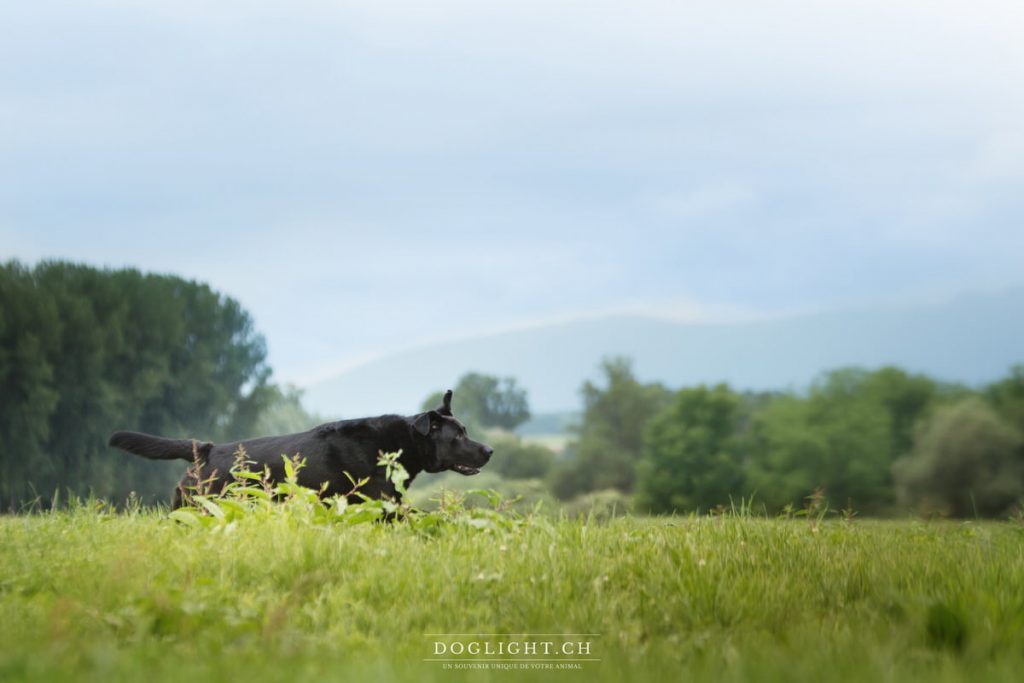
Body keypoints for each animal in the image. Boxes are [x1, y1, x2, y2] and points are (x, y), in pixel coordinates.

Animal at [110, 389, 493, 507]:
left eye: (466, 431)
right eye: (458, 437)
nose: (490, 450)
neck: (398, 445)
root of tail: (204, 449)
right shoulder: (382, 507)